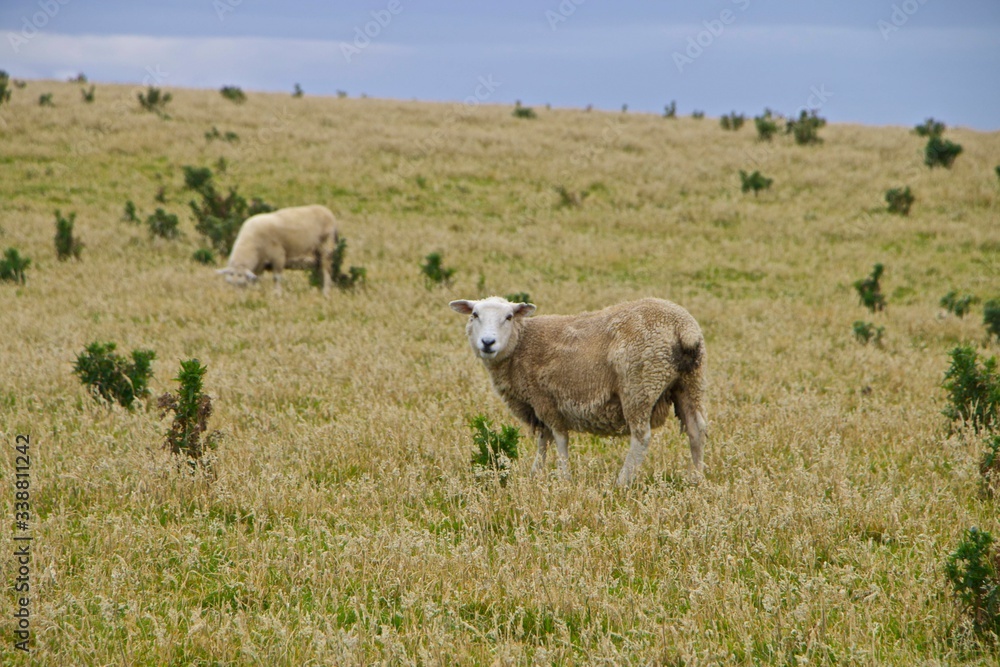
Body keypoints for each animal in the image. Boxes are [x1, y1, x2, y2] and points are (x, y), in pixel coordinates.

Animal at [450, 298, 708, 486]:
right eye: (475, 315)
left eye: (509, 317)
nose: (487, 342)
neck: (521, 344)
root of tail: (683, 329)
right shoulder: (540, 405)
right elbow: (543, 442)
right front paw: (535, 475)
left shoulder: (545, 399)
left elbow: (559, 439)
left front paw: (564, 477)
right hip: (690, 382)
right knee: (696, 430)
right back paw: (696, 479)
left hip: (640, 384)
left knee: (641, 437)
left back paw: (621, 482)